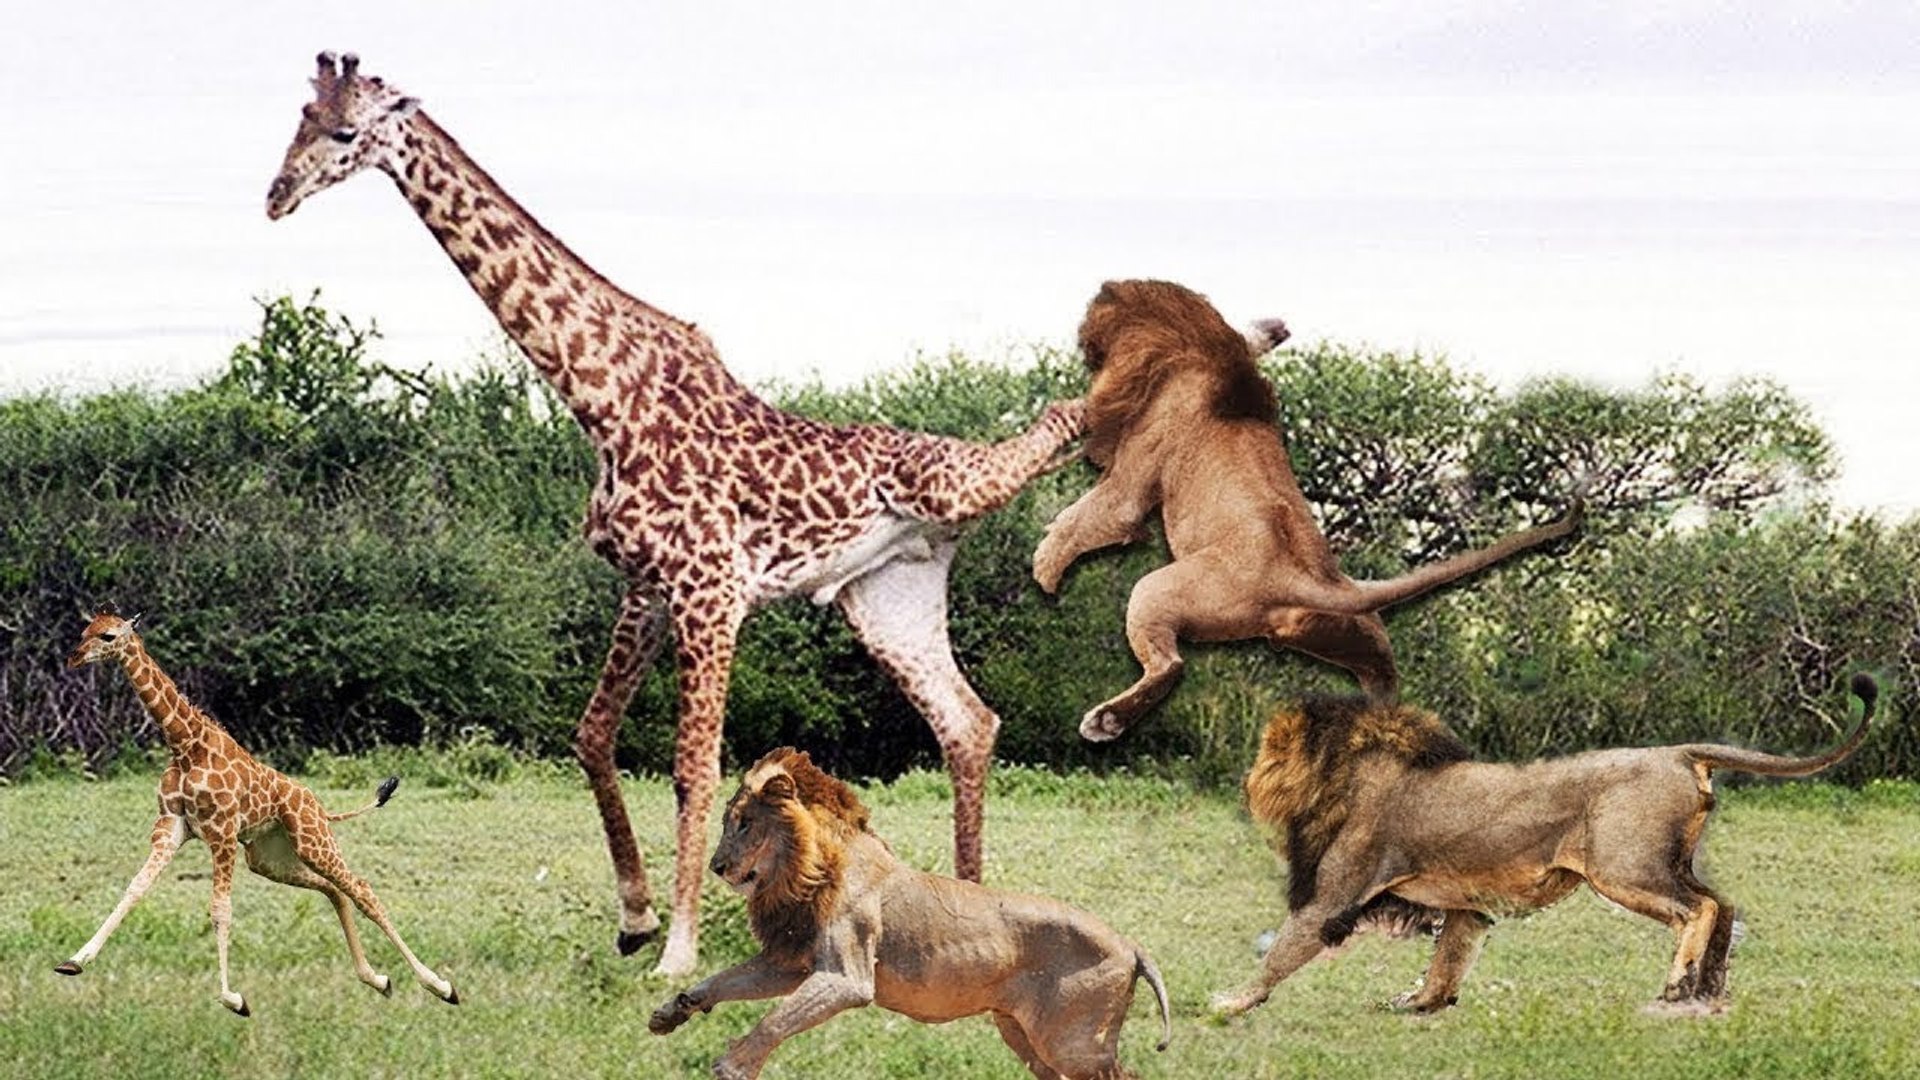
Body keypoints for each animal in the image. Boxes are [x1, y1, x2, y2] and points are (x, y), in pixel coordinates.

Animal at [58, 609, 458, 1015]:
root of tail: (319, 806)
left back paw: (441, 986)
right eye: (85, 630)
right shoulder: (171, 826)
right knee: (334, 890)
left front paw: (233, 998)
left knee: (361, 888)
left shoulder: (221, 832)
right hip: (268, 856)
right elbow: (136, 887)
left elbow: (220, 908)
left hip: (312, 839)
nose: (74, 657)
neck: (185, 745)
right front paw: (75, 961)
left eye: (108, 636)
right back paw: (377, 979)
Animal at [266, 52, 1086, 976]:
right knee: (968, 722)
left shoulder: (709, 592)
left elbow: (697, 768)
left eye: (345, 130)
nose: (277, 194)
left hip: (942, 490)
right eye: (298, 118)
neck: (602, 399)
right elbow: (592, 734)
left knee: (1050, 425)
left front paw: (680, 948)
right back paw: (969, 906)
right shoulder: (645, 587)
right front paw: (637, 916)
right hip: (887, 595)